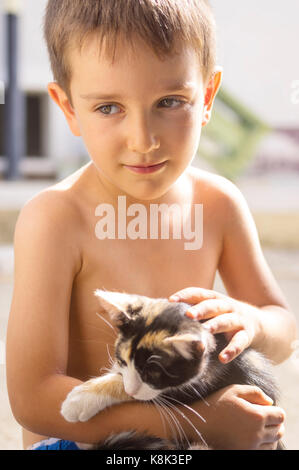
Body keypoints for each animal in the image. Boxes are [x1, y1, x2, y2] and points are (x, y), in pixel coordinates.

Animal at [60, 288, 282, 450]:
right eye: (122, 360)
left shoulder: (204, 382)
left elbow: (147, 394)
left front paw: (79, 400)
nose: (131, 389)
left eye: (152, 374)